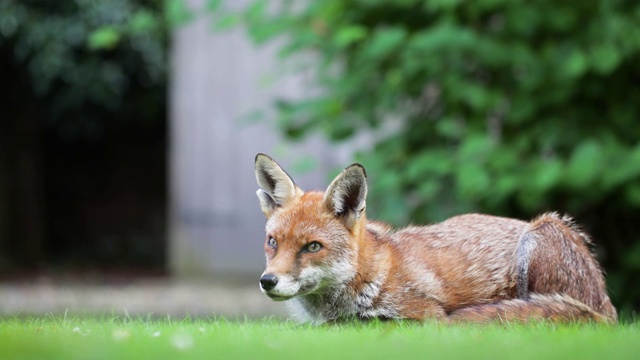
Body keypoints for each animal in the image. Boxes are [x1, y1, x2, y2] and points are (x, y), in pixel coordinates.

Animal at [252, 153, 616, 324]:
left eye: (312, 246)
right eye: (273, 242)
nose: (267, 281)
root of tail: (607, 309)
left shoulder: (424, 315)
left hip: (540, 236)